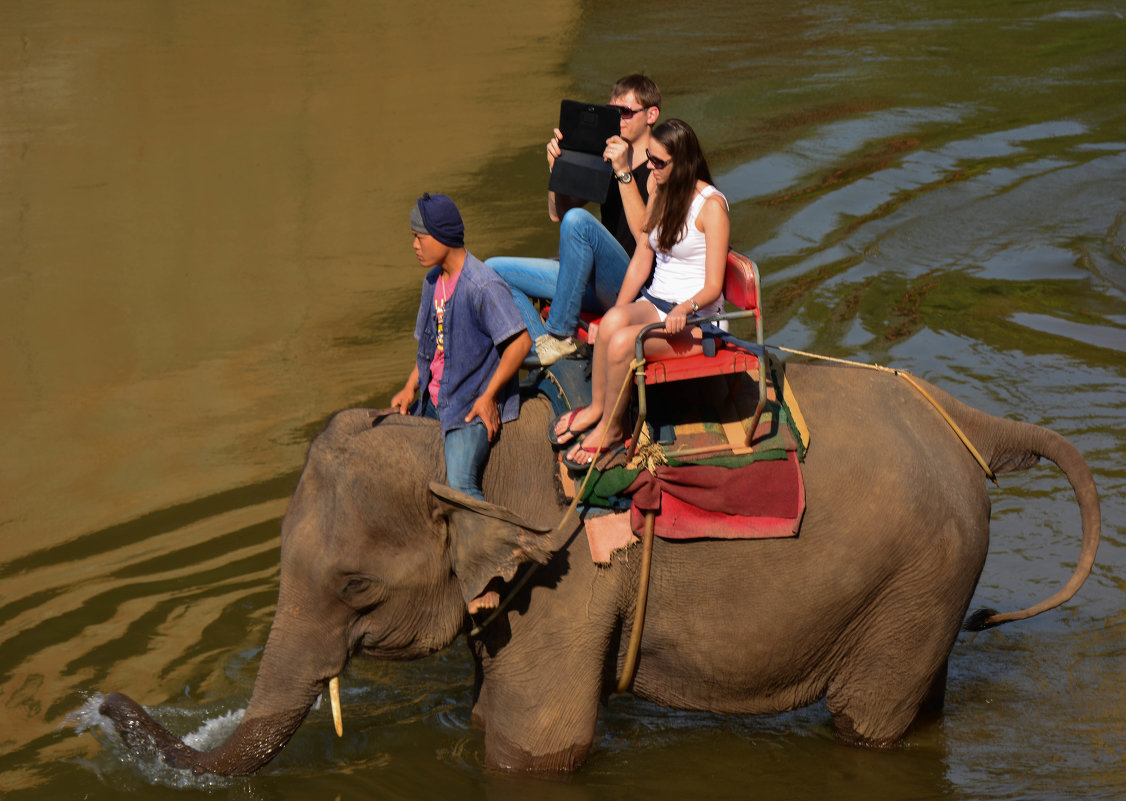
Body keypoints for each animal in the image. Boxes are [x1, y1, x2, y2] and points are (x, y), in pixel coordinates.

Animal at [96, 360, 1098, 775]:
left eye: (356, 589)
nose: (103, 703)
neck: (463, 445)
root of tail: (968, 420)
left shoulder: (569, 573)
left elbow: (534, 743)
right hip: (926, 585)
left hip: (919, 578)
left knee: (869, 723)